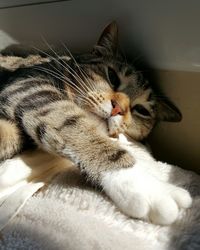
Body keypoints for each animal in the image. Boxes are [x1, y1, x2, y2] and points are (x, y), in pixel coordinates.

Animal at [0, 21, 191, 225]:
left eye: (141, 110)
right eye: (112, 76)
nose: (118, 109)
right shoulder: (28, 85)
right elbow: (74, 124)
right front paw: (146, 185)